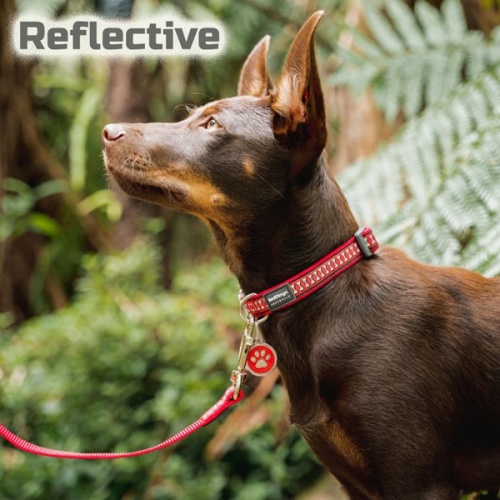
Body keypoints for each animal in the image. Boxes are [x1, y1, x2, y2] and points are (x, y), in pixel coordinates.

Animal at [101, 11, 500, 500]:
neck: (322, 290)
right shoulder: (354, 482)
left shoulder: (420, 482)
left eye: (213, 126)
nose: (106, 132)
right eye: (193, 116)